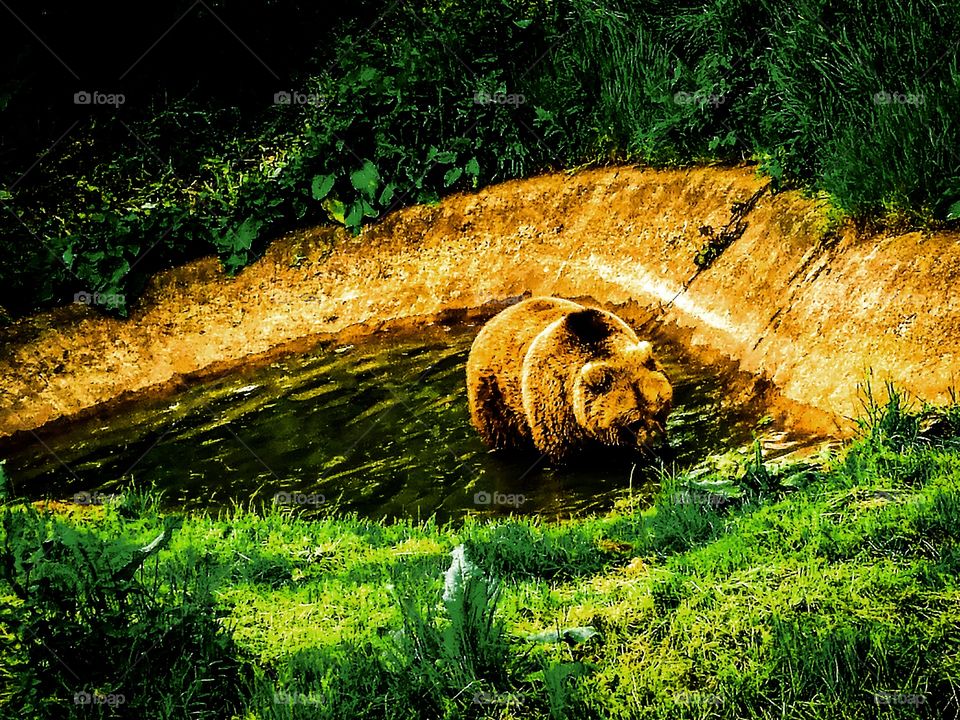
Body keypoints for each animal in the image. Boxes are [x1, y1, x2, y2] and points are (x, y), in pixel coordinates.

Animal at [466, 297, 673, 463]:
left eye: (658, 411)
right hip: (494, 398)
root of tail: (492, 321)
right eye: (634, 421)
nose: (656, 445)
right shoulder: (555, 408)